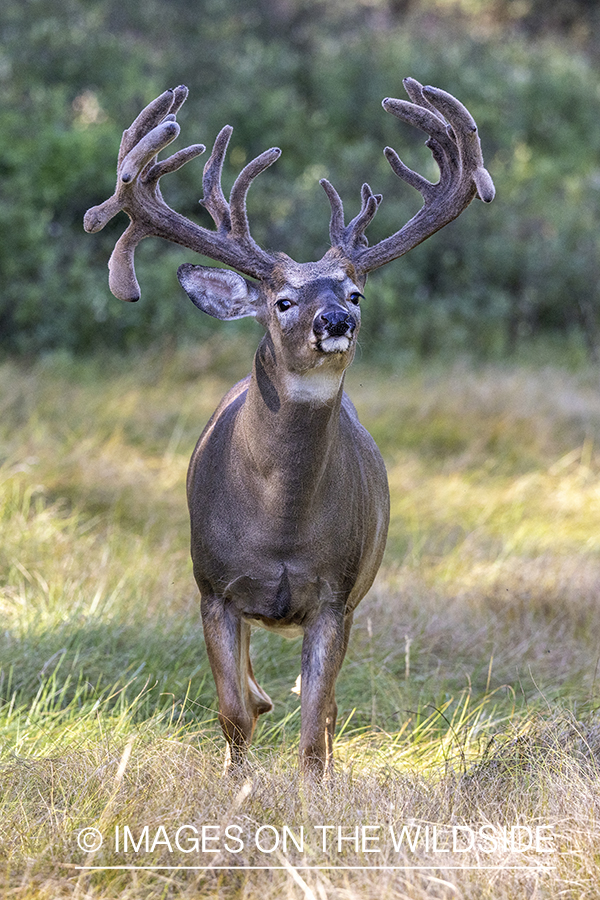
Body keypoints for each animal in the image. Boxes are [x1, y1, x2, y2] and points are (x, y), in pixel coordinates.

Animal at [85, 81, 496, 776]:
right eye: (282, 300)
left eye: (356, 294)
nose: (335, 321)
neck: (279, 527)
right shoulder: (213, 586)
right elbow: (231, 711)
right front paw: (238, 785)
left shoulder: (335, 596)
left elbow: (315, 725)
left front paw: (310, 788)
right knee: (248, 690)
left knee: (318, 709)